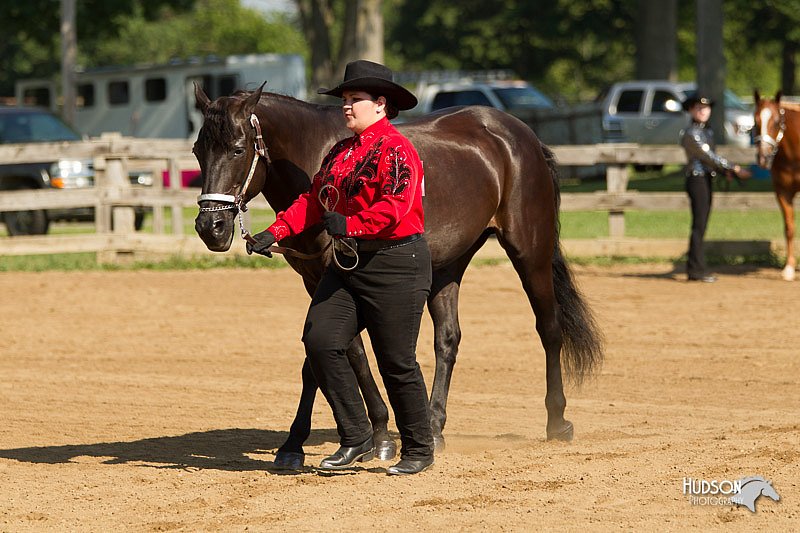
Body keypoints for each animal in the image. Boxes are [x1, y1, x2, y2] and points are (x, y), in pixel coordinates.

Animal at [194, 83, 604, 466]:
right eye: (198, 151)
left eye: (237, 149)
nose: (210, 227)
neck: (313, 154)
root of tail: (521, 136)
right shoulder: (315, 281)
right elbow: (319, 358)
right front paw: (294, 445)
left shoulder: (336, 277)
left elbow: (351, 353)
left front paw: (379, 437)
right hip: (449, 264)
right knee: (447, 340)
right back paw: (435, 428)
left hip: (530, 252)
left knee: (549, 328)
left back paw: (557, 422)